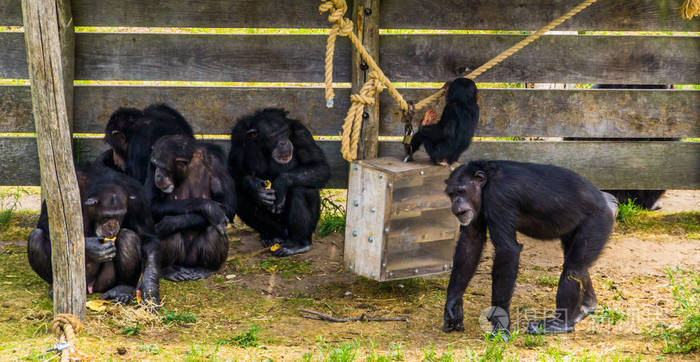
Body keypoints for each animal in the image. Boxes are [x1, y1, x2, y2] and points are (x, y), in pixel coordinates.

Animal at [27, 165, 160, 304]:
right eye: (105, 216)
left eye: (119, 215)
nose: (112, 226)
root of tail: (90, 288)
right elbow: (46, 224)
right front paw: (92, 247)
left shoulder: (138, 198)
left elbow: (147, 237)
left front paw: (150, 287)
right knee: (36, 237)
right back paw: (56, 287)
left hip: (105, 282)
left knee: (128, 236)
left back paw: (123, 289)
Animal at [147, 134, 235, 282]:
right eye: (155, 165)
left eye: (163, 167)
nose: (158, 174)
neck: (187, 167)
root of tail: (186, 265)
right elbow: (151, 203)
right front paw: (209, 207)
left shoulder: (216, 165)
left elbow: (227, 206)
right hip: (180, 260)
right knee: (167, 230)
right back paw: (168, 270)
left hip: (194, 259)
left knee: (213, 228)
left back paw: (205, 269)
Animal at [227, 108, 330, 258]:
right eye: (274, 136)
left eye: (284, 132)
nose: (283, 142)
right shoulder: (238, 137)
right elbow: (234, 170)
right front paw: (255, 187)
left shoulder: (301, 133)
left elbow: (320, 166)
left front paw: (281, 183)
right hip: (279, 228)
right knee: (240, 197)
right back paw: (272, 236)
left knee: (300, 188)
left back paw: (299, 243)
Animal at [440, 161, 616, 336]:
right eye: (451, 194)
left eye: (461, 191)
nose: (456, 201)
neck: (486, 184)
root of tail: (608, 201)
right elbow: (470, 242)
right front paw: (453, 305)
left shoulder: (499, 197)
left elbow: (507, 250)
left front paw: (499, 321)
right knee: (576, 262)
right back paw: (585, 307)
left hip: (598, 222)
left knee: (573, 268)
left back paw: (561, 323)